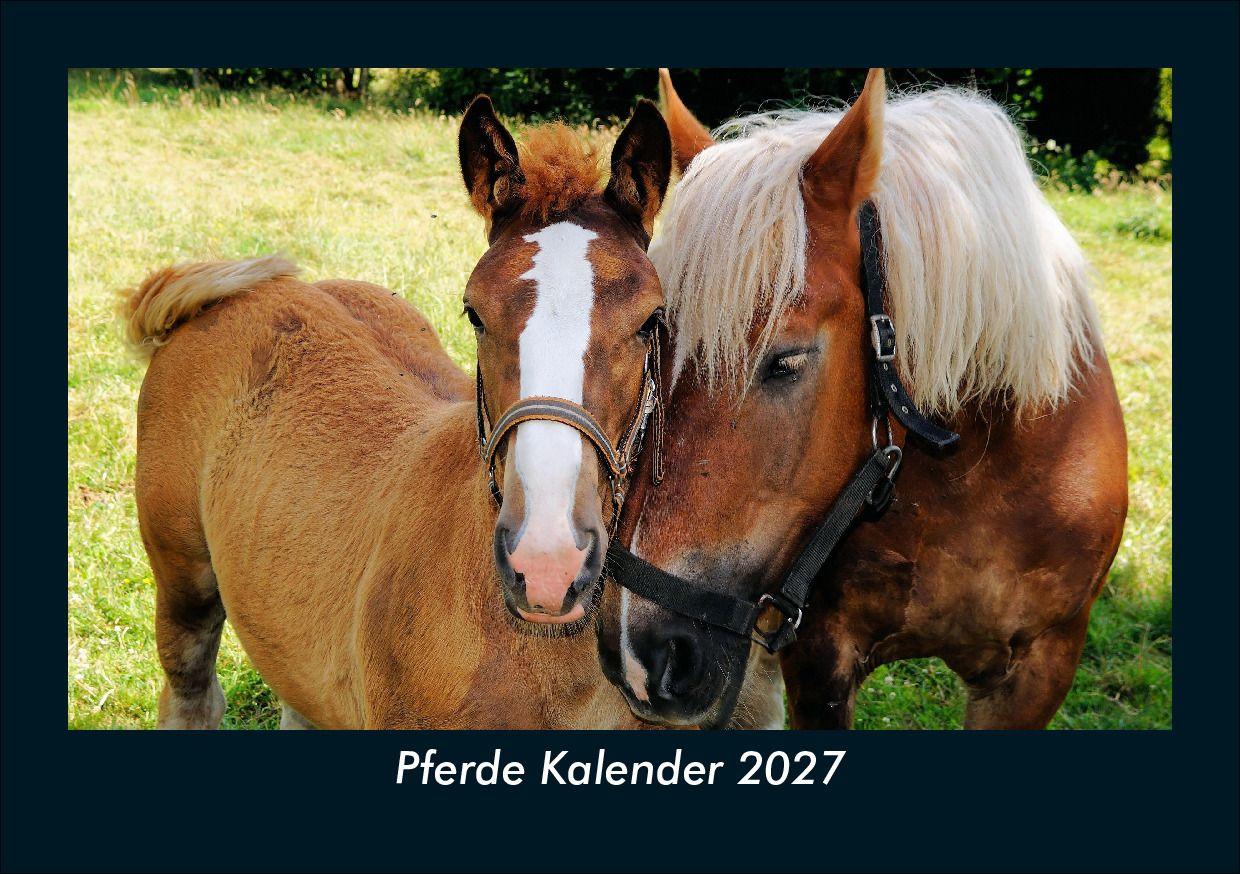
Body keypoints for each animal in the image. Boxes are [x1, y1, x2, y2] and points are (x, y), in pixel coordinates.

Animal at [123, 96, 675, 728]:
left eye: (651, 320)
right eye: (474, 313)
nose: (546, 563)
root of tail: (228, 297)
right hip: (182, 580)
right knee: (190, 692)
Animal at [598, 69, 1128, 729]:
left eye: (786, 361)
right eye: (652, 343)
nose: (637, 653)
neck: (968, 474)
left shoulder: (1038, 670)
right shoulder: (820, 660)